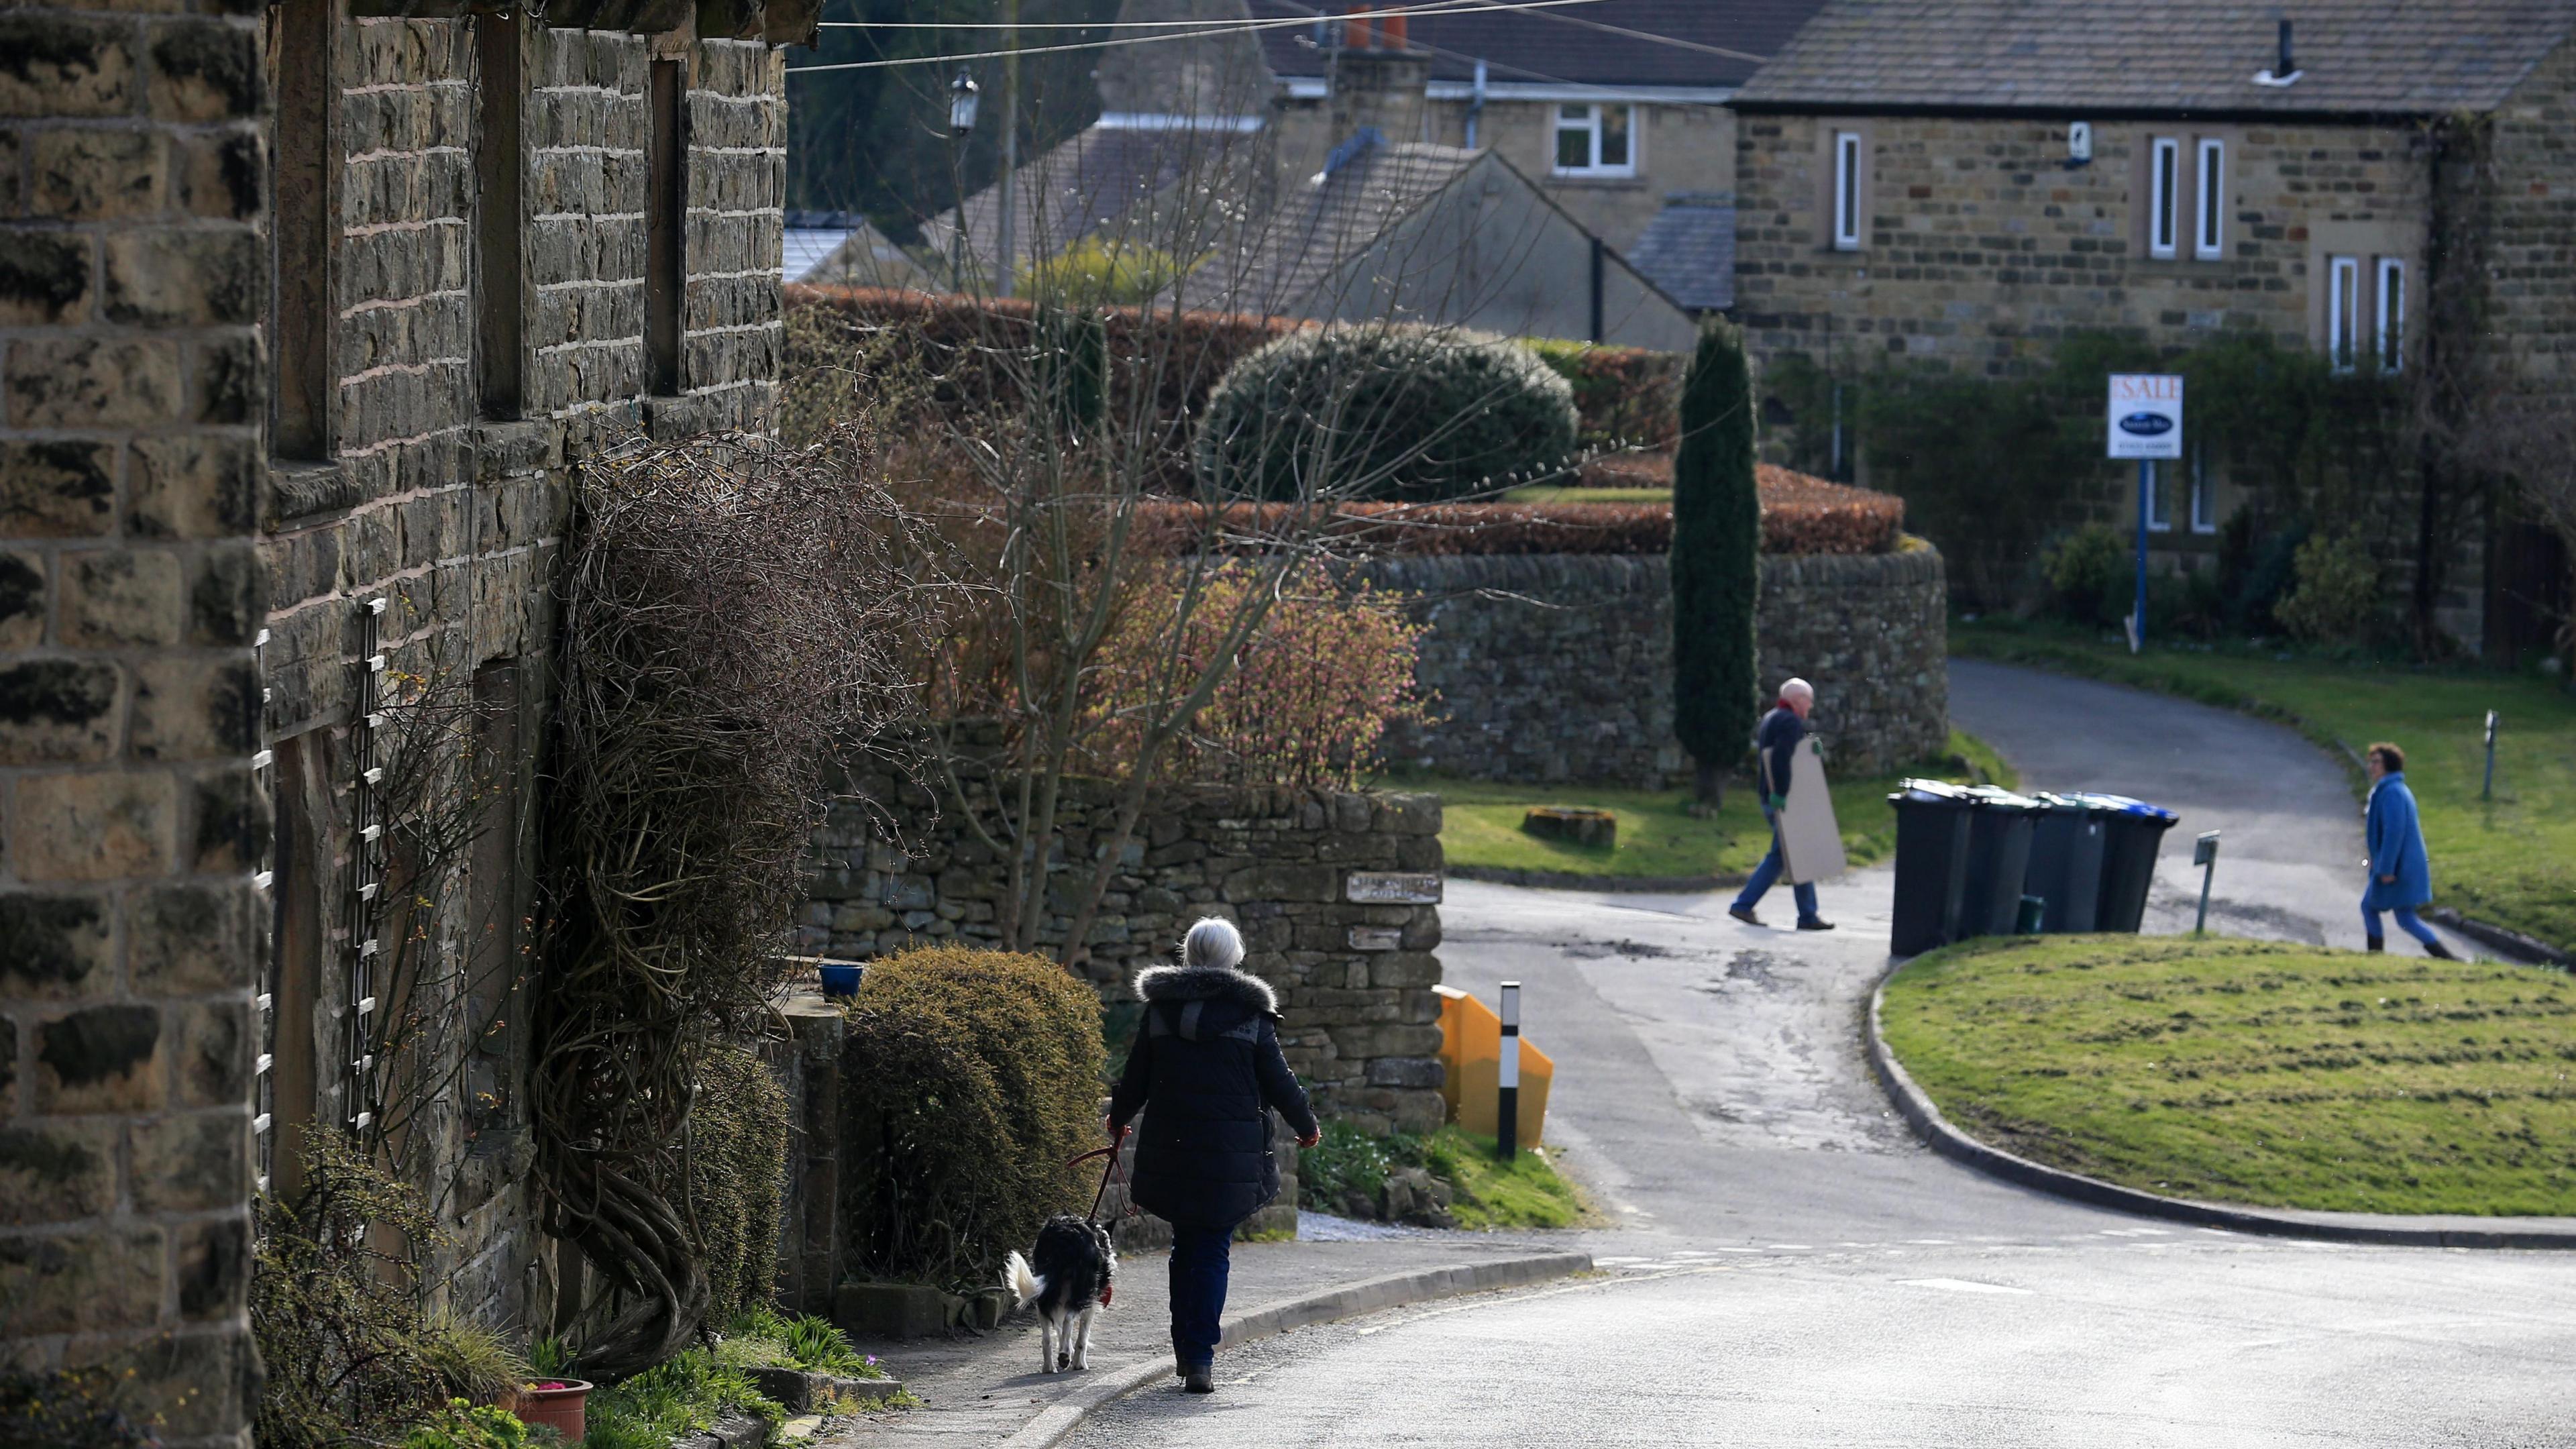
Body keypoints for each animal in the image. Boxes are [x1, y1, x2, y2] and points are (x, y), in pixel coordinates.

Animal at [999, 1206, 1112, 1361]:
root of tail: (1064, 1236)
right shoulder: (1092, 1303)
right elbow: (1082, 1337)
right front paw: (1079, 1362)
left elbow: (1059, 1328)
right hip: (1082, 1290)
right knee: (1069, 1319)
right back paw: (1065, 1356)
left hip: (1047, 1295)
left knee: (1046, 1337)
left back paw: (1051, 1363)